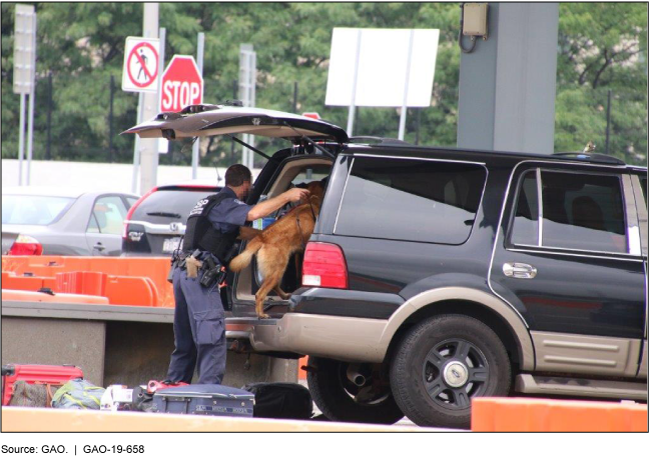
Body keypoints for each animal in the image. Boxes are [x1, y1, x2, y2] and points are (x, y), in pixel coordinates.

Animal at [232, 181, 326, 318]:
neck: (311, 199)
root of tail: (262, 237)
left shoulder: (298, 253)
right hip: (278, 268)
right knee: (260, 293)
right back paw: (261, 314)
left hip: (275, 270)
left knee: (273, 286)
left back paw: (284, 296)